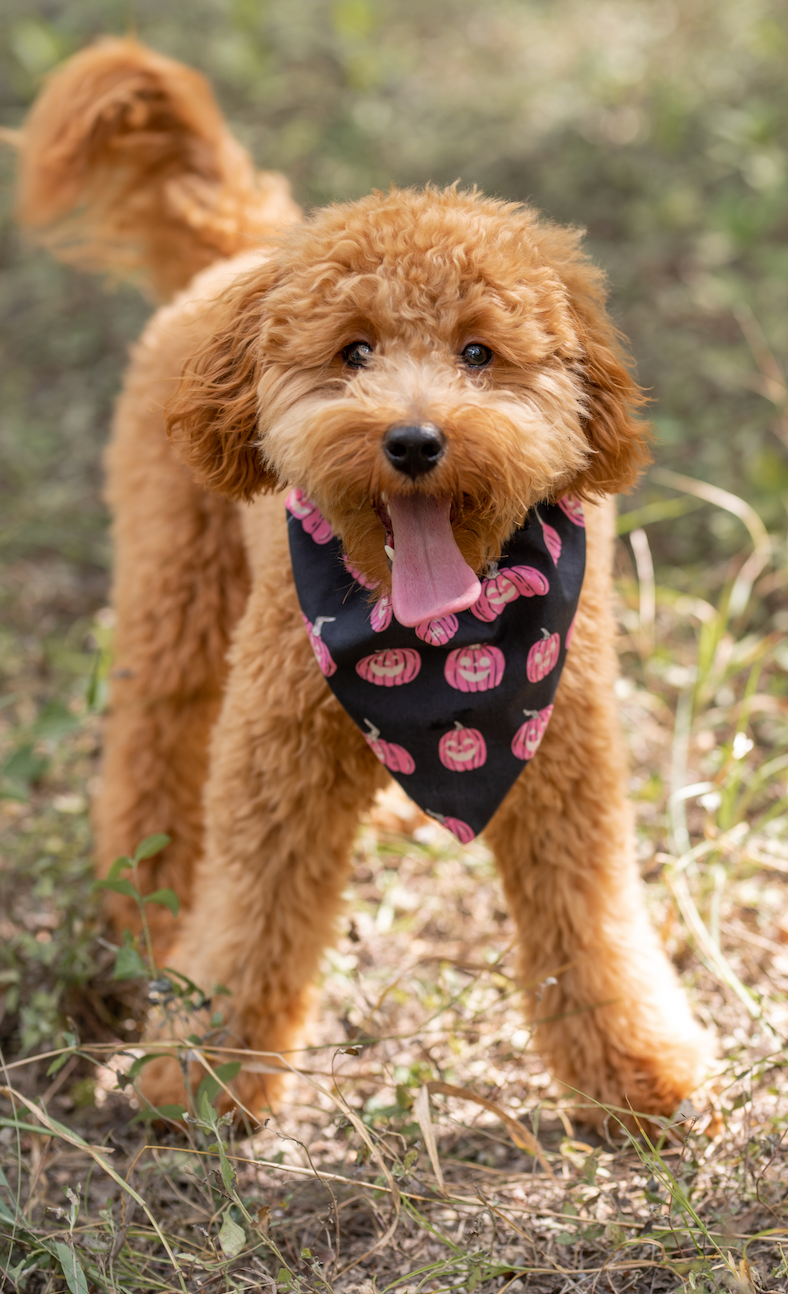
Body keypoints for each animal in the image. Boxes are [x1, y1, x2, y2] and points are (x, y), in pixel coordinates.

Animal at [16, 35, 709, 1118]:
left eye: (478, 351)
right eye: (353, 351)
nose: (414, 441)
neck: (438, 649)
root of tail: (243, 255)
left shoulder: (565, 767)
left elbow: (586, 918)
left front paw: (634, 1067)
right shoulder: (277, 768)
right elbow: (253, 910)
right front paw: (203, 1072)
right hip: (176, 592)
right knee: (153, 751)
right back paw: (148, 920)